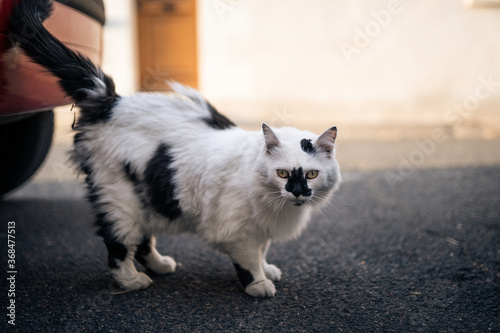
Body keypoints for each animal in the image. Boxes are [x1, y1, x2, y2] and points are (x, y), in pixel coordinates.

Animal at [10, 0, 340, 296]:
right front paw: (259, 284)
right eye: (283, 173)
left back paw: (159, 266)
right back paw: (132, 281)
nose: (297, 191)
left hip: (146, 196)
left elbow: (263, 250)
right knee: (118, 244)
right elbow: (249, 260)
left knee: (142, 241)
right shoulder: (237, 229)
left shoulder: (261, 228)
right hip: (120, 198)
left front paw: (268, 268)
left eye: (311, 175)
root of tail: (110, 100)